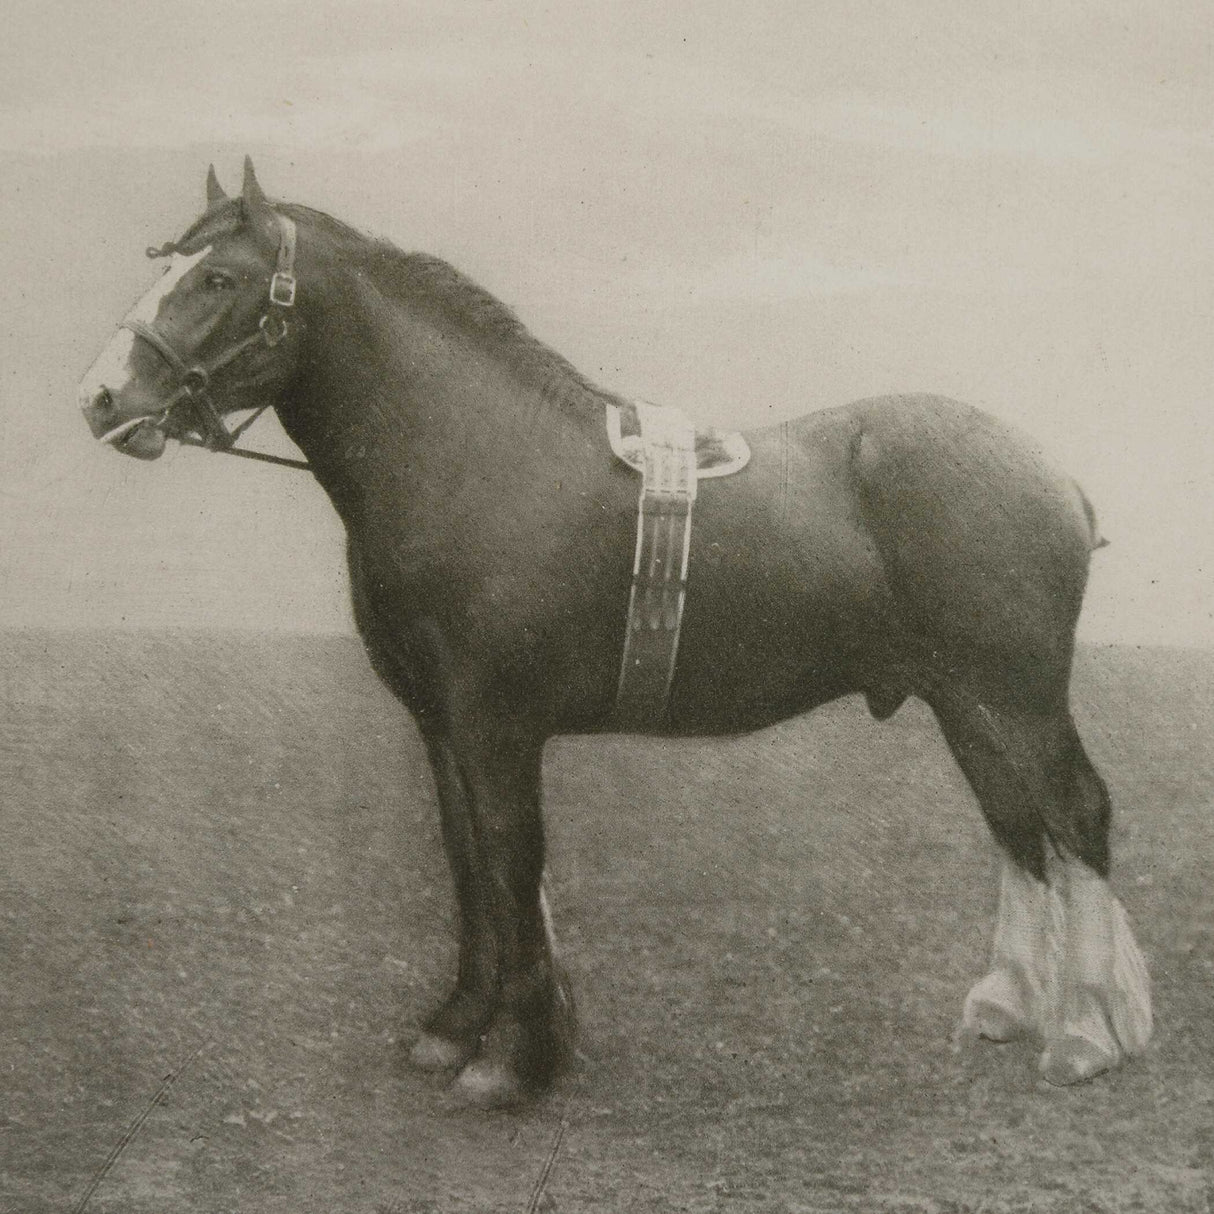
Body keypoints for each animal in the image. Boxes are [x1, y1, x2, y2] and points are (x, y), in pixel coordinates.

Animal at [78, 158, 1152, 1109]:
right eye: (170, 261)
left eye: (218, 279)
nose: (102, 397)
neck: (473, 457)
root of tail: (1053, 474)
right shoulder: (442, 728)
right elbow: (467, 864)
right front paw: (455, 1029)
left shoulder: (498, 728)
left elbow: (512, 862)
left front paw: (513, 1062)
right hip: (961, 701)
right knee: (1015, 826)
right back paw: (1009, 1005)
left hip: (1016, 696)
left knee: (1076, 814)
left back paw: (1085, 1035)